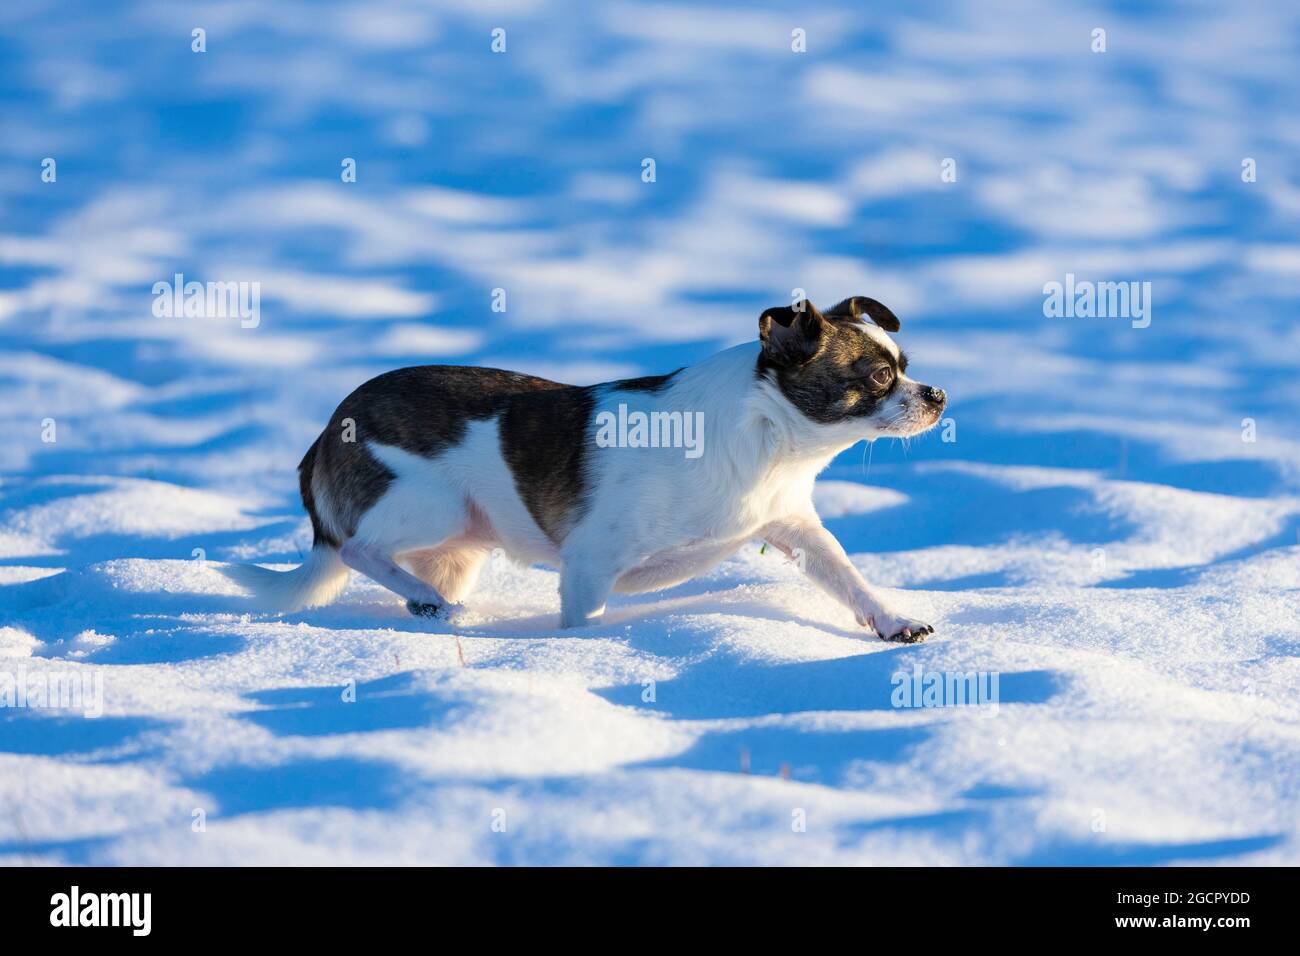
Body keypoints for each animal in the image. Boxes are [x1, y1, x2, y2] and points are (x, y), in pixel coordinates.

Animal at [226, 297, 946, 642]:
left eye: (905, 365)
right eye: (878, 378)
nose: (936, 395)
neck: (766, 440)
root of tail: (327, 432)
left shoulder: (795, 528)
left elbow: (849, 579)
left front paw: (893, 622)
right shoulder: (589, 565)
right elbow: (585, 618)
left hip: (460, 546)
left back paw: (426, 602)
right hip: (432, 503)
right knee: (356, 549)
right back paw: (424, 598)